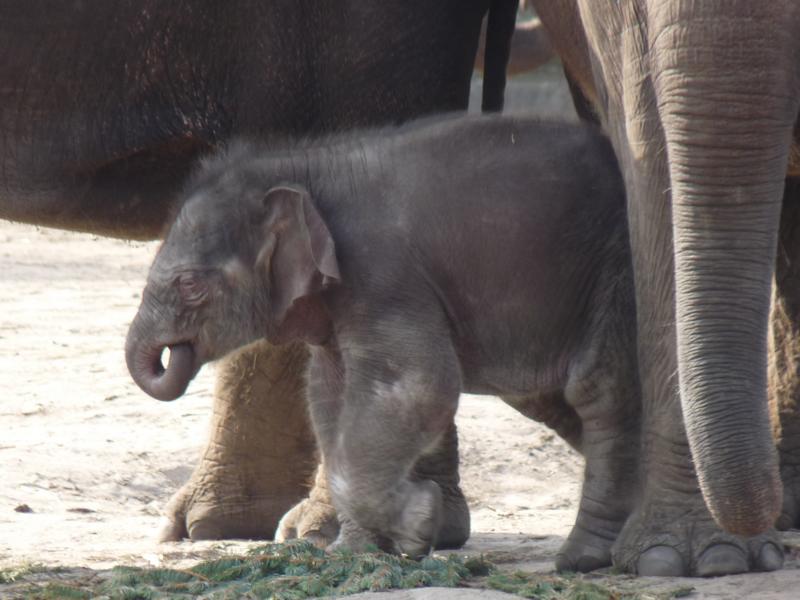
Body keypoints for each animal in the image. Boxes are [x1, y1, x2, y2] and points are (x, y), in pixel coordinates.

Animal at [126, 114, 641, 569]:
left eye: (190, 284)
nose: (172, 355)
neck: (306, 167)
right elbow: (330, 401)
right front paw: (355, 551)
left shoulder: (382, 273)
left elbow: (415, 386)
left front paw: (419, 524)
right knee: (558, 403)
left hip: (612, 264)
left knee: (599, 390)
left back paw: (583, 558)